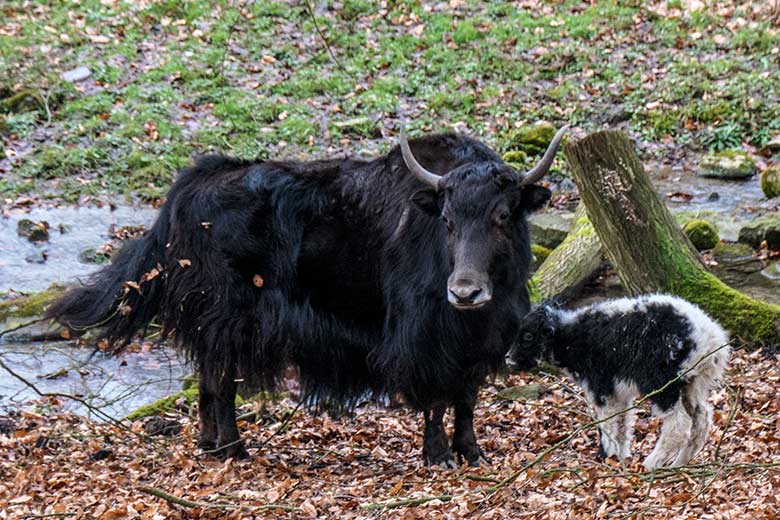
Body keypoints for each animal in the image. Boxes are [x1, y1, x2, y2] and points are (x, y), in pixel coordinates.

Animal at [47, 124, 568, 466]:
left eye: (503, 216)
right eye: (447, 220)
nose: (465, 292)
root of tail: (190, 188)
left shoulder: (481, 341)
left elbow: (466, 397)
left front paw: (472, 453)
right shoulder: (423, 338)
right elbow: (438, 397)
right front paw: (438, 456)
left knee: (210, 379)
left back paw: (213, 446)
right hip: (225, 315)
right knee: (220, 379)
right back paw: (233, 449)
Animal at [506, 294, 732, 470]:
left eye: (528, 336)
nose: (508, 358)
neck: (571, 339)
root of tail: (710, 338)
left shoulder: (601, 388)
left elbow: (607, 425)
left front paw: (608, 458)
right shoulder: (619, 394)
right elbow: (623, 426)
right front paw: (619, 458)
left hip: (662, 381)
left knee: (678, 424)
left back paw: (652, 463)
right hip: (692, 382)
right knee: (701, 418)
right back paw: (679, 463)